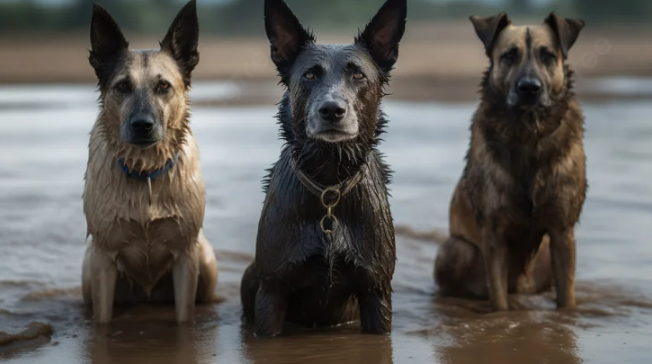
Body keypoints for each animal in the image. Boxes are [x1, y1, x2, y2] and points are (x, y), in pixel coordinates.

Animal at [82, 0, 216, 324]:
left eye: (164, 86)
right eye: (122, 86)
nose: (142, 125)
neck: (145, 172)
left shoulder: (186, 256)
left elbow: (185, 317)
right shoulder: (103, 258)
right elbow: (102, 320)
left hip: (206, 261)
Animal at [242, 0, 404, 336]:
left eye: (358, 76)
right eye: (310, 75)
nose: (331, 110)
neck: (330, 181)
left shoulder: (377, 290)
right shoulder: (272, 289)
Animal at [436, 12, 588, 312]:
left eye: (547, 55)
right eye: (509, 56)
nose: (529, 88)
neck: (529, 134)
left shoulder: (562, 233)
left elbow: (567, 299)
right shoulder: (494, 234)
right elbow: (499, 301)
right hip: (455, 251)